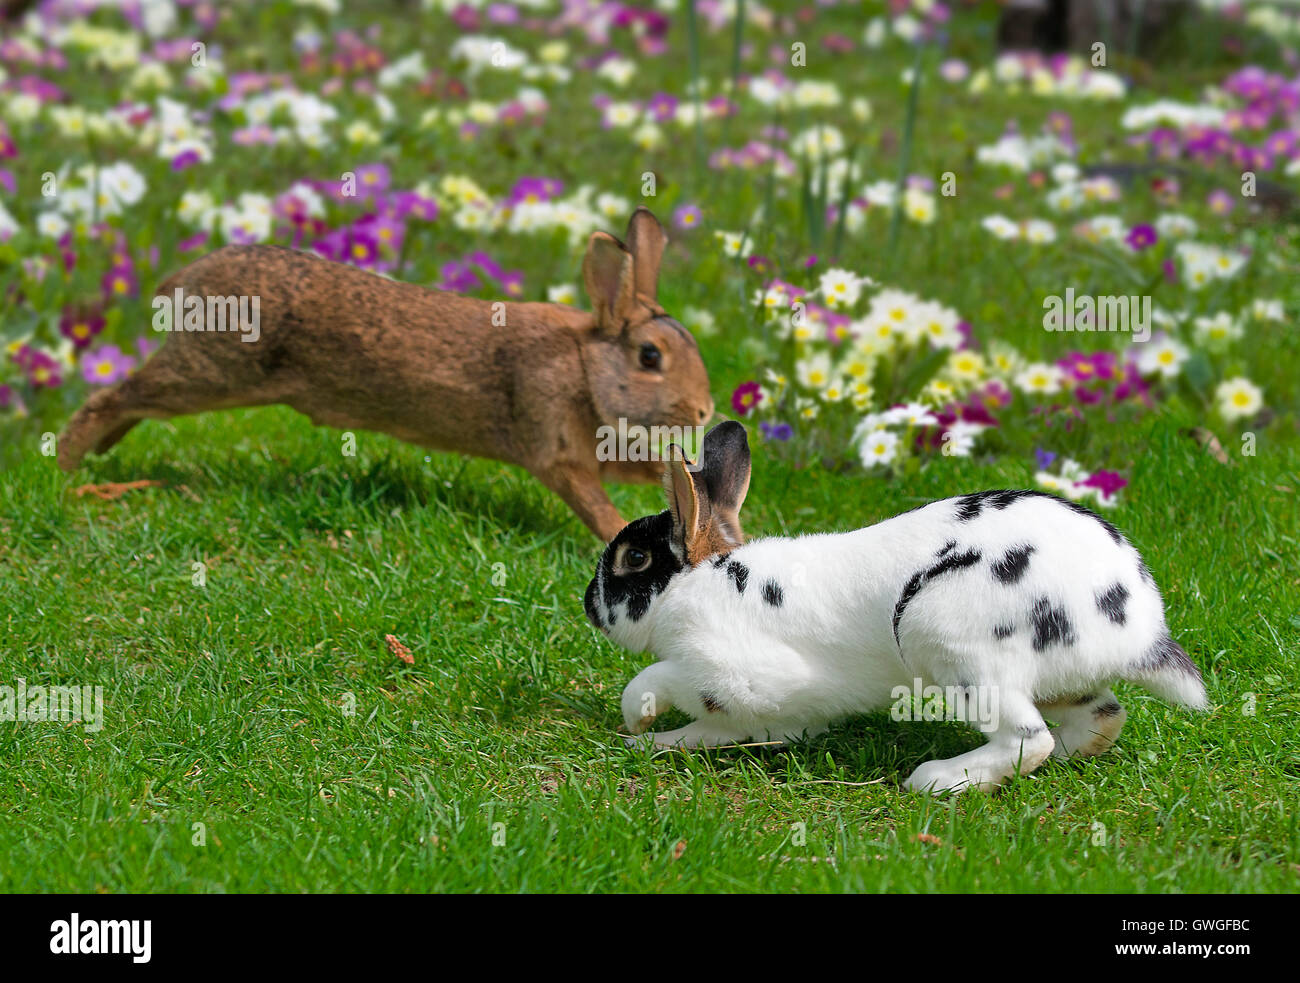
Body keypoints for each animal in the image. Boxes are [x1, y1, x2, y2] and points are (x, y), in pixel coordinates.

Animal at [57, 207, 714, 542]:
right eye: (649, 357)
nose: (705, 411)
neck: (584, 364)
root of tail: (185, 281)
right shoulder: (559, 455)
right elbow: (597, 509)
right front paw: (621, 536)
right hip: (210, 372)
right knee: (113, 395)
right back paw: (68, 463)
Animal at [584, 420, 1209, 794]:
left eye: (635, 558)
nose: (588, 605)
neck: (698, 584)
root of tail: (1138, 628)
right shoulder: (756, 715)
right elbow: (707, 731)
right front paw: (648, 744)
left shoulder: (739, 675)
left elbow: (659, 678)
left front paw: (636, 719)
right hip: (1060, 682)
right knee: (1101, 718)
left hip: (949, 642)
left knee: (1030, 739)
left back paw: (936, 781)